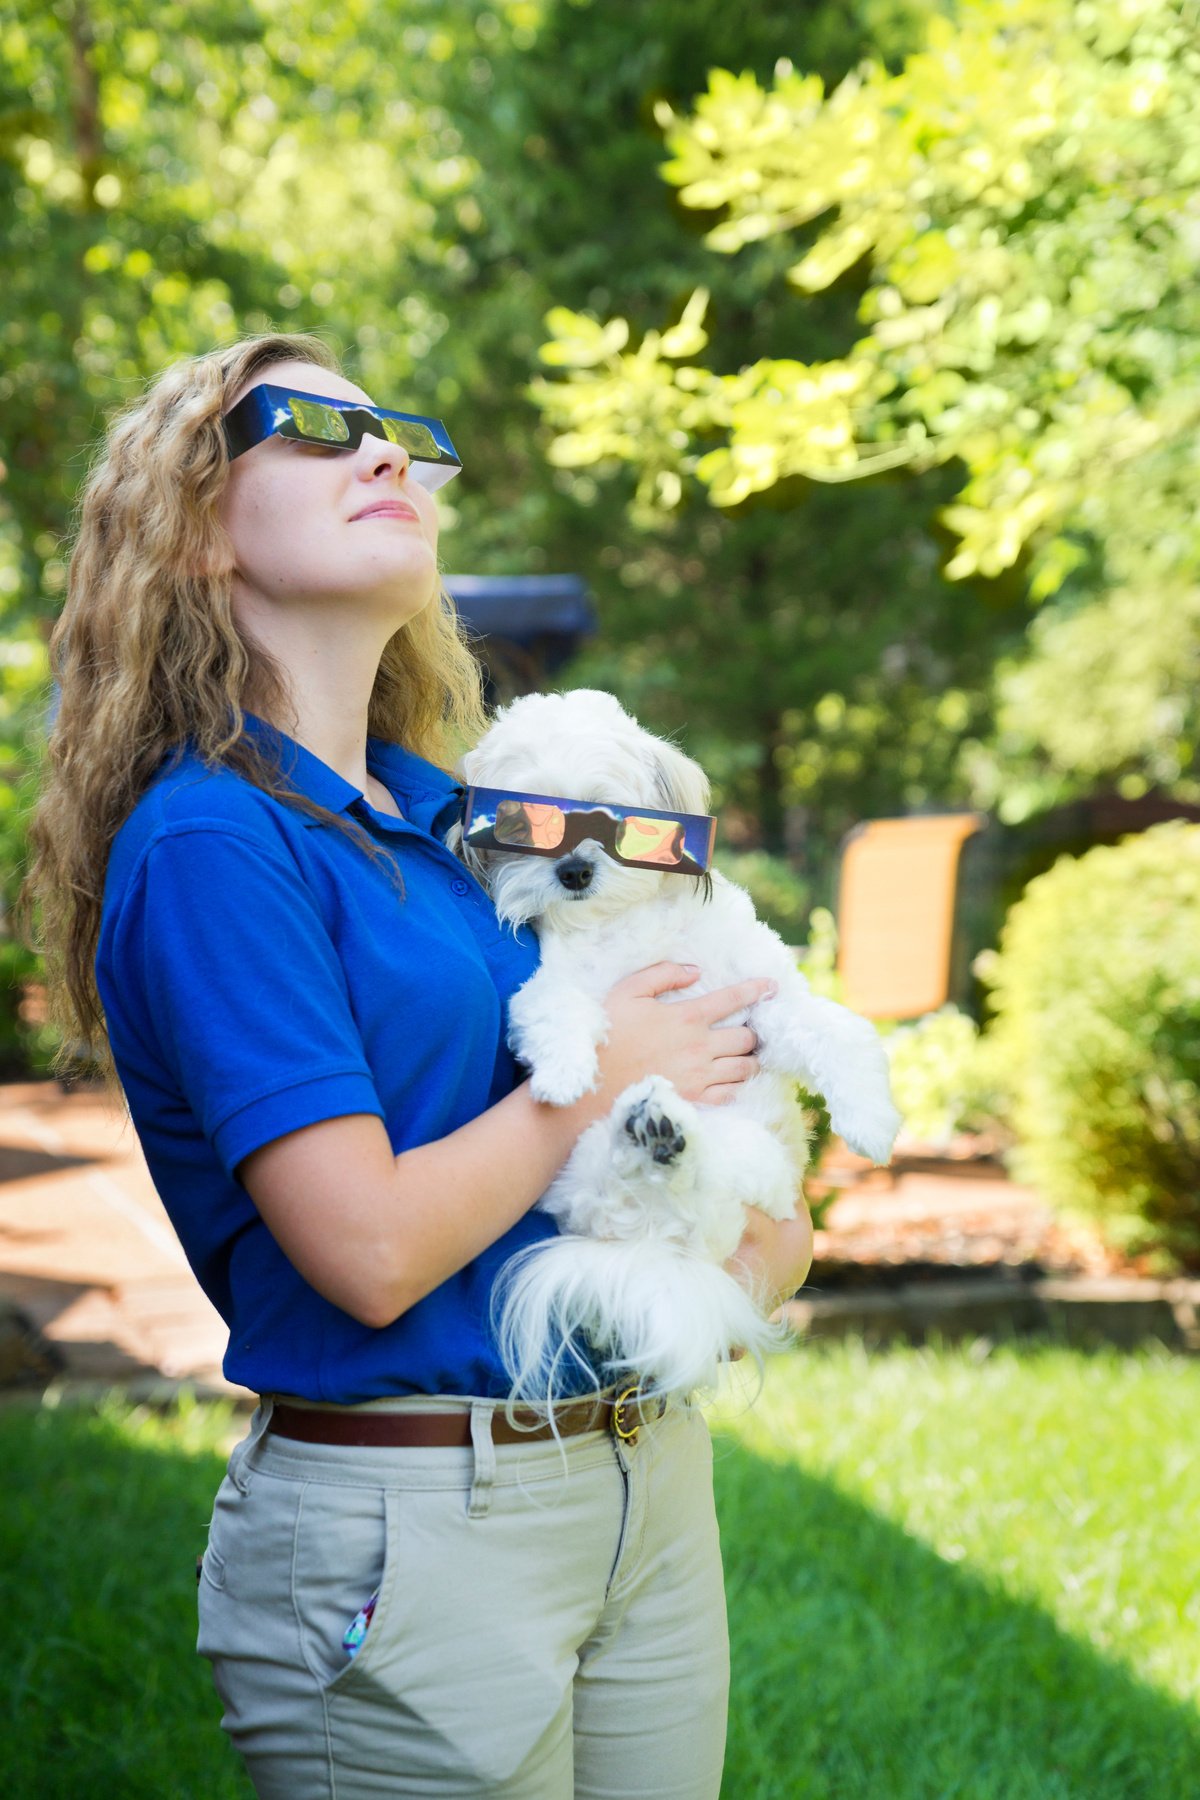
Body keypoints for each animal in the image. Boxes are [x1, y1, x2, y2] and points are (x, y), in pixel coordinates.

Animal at [456, 687, 899, 1404]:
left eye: (607, 816)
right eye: (525, 827)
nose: (573, 870)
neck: (629, 927)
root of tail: (651, 1251)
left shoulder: (766, 1003)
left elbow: (842, 1036)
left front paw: (871, 1123)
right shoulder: (551, 988)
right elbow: (552, 1014)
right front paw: (563, 1074)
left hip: (746, 1164)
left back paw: (660, 1135)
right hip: (594, 1174)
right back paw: (654, 1134)